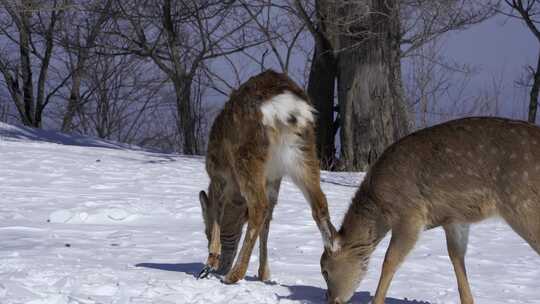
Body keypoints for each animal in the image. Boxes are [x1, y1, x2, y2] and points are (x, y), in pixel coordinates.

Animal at [196, 70, 336, 284]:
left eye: (205, 232)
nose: (221, 266)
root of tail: (285, 107)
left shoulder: (219, 174)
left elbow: (219, 211)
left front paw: (210, 262)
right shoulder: (273, 177)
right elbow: (269, 220)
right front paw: (264, 274)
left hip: (248, 155)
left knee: (259, 206)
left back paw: (234, 275)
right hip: (303, 152)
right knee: (319, 203)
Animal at [320, 117, 540, 304]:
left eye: (325, 270)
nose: (331, 300)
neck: (379, 207)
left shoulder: (410, 213)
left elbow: (389, 260)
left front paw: (377, 301)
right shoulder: (454, 219)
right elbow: (456, 256)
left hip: (522, 203)